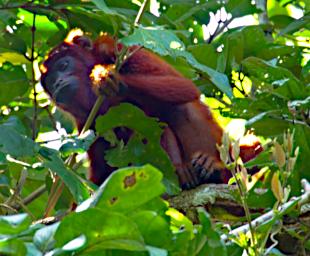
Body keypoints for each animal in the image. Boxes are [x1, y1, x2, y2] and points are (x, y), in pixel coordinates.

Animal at [39, 32, 262, 188]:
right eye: (49, 82)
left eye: (64, 65)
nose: (57, 84)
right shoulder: (86, 124)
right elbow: (100, 173)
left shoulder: (118, 49)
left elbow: (183, 86)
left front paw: (108, 80)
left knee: (181, 108)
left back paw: (212, 169)